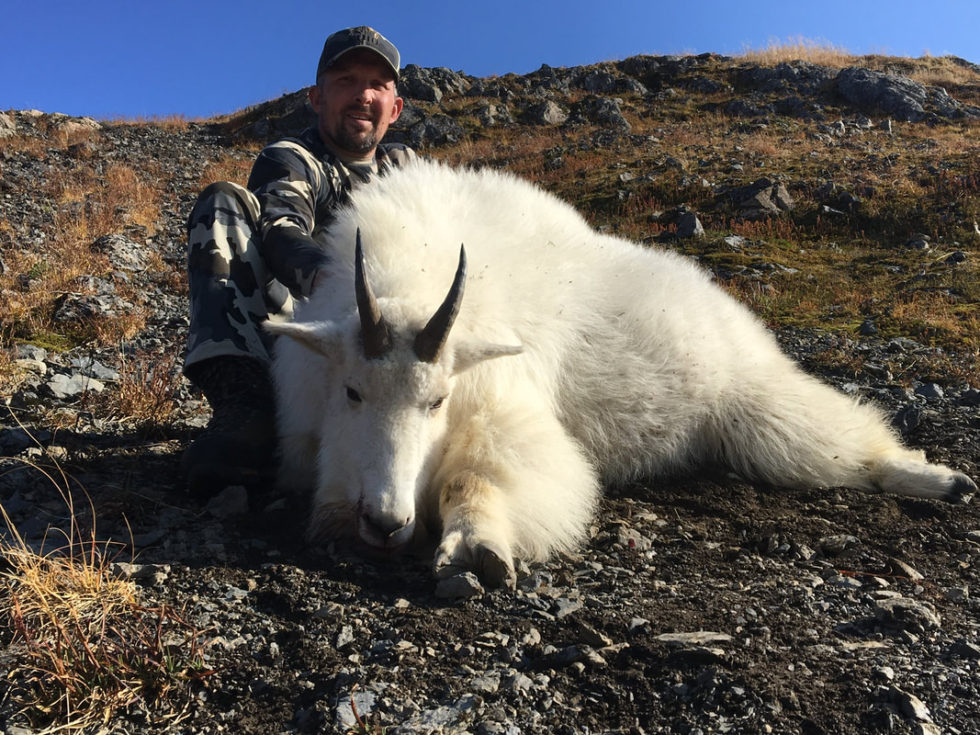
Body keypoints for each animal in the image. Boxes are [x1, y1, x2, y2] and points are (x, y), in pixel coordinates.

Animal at [264, 160, 976, 588]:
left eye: (438, 400)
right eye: (352, 391)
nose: (386, 522)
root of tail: (717, 298)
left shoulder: (505, 407)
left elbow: (488, 473)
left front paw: (476, 546)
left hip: (754, 406)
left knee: (839, 438)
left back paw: (942, 480)